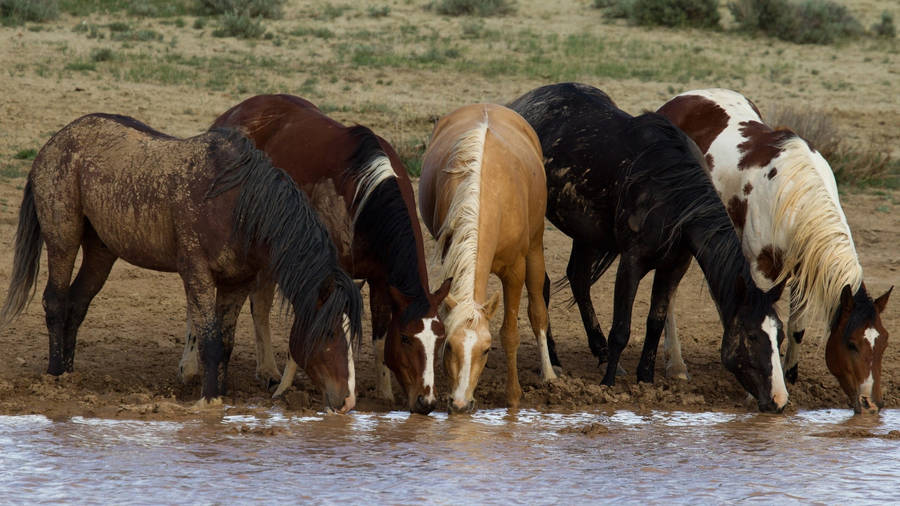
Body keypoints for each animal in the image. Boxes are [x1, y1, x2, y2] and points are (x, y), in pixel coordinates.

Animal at [0, 113, 362, 412]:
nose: (347, 401)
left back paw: (70, 375)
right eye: (329, 331)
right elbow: (210, 339)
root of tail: (54, 142)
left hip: (101, 250)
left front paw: (220, 394)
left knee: (77, 303)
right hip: (63, 237)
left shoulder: (236, 283)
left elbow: (225, 342)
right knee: (56, 302)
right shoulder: (197, 274)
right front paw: (210, 401)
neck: (238, 206)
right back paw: (54, 375)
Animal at [191, 94, 451, 414]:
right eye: (405, 338)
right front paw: (286, 390)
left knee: (260, 305)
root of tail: (230, 115)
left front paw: (385, 392)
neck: (363, 199)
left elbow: (378, 337)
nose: (426, 402)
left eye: (440, 339)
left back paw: (267, 371)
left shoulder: (381, 280)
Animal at [419, 103, 557, 412]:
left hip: (536, 247)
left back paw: (549, 374)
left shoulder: (515, 270)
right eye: (450, 347)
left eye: (485, 350)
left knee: (538, 312)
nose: (460, 403)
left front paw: (513, 396)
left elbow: (510, 332)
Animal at [508, 83, 788, 412]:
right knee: (544, 285)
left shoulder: (674, 266)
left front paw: (645, 378)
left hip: (586, 233)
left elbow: (655, 321)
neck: (669, 194)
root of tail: (521, 103)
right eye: (753, 336)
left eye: (780, 336)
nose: (779, 400)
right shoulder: (632, 261)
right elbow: (621, 328)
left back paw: (599, 352)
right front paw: (608, 383)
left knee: (578, 279)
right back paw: (555, 359)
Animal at [658, 88, 892, 414]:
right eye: (851, 344)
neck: (792, 195)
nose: (871, 403)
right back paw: (677, 366)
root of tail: (681, 99)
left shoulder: (803, 269)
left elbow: (796, 328)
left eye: (883, 343)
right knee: (669, 293)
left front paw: (789, 373)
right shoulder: (762, 269)